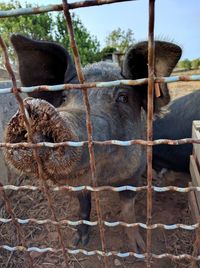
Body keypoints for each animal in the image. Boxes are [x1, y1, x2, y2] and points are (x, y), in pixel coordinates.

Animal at [3, 34, 181, 252]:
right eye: (64, 97)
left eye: (123, 97)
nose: (37, 109)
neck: (104, 180)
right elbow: (84, 207)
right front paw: (77, 242)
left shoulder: (132, 175)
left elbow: (128, 211)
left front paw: (138, 249)